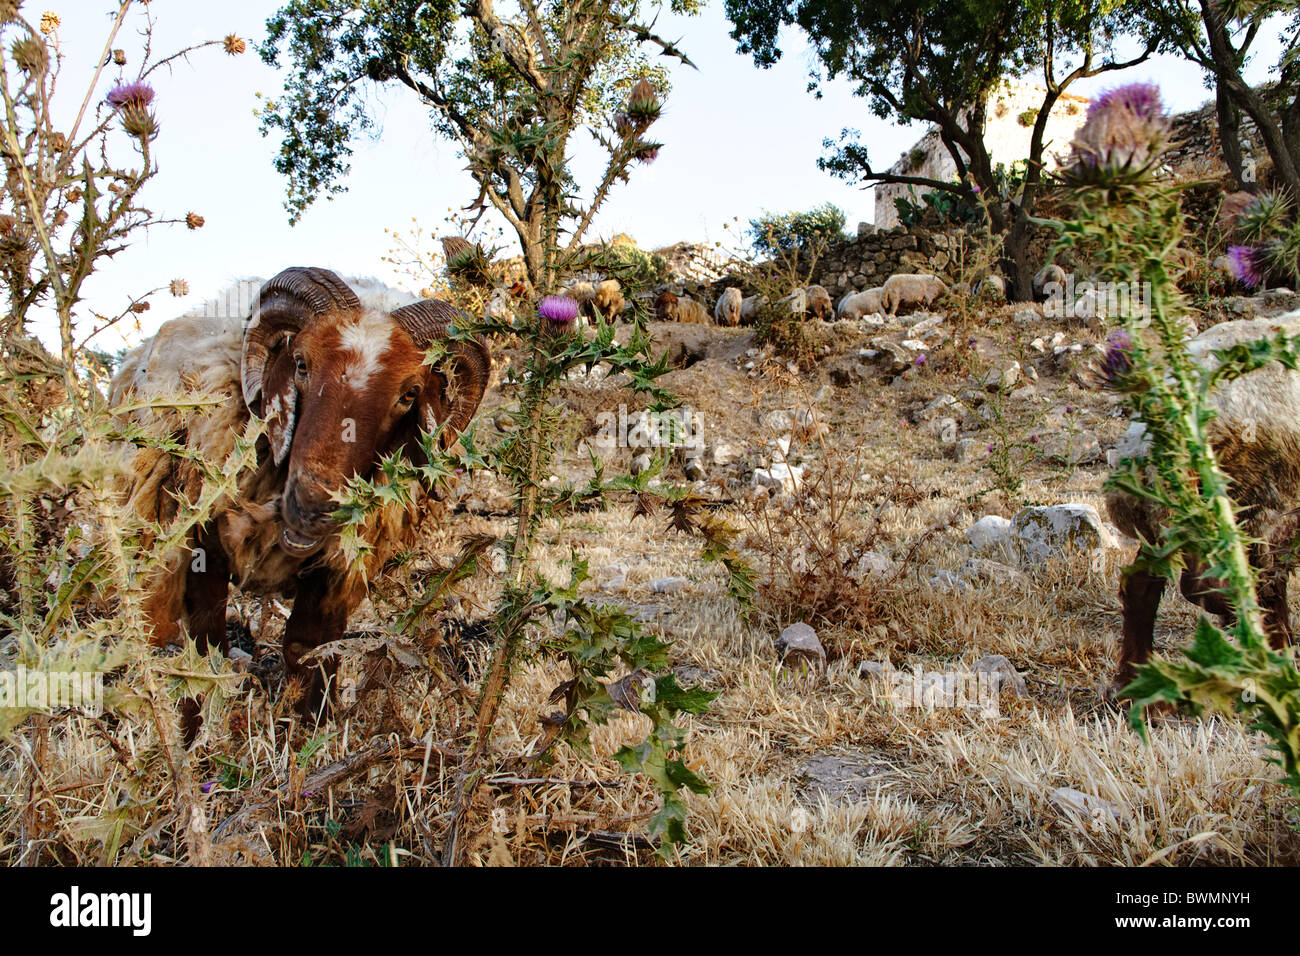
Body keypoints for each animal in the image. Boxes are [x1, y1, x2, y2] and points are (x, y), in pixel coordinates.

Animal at [113, 265, 491, 712]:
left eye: (409, 394)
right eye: (301, 364)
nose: (313, 506)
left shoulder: (334, 574)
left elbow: (309, 656)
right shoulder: (203, 547)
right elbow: (206, 652)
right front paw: (197, 722)